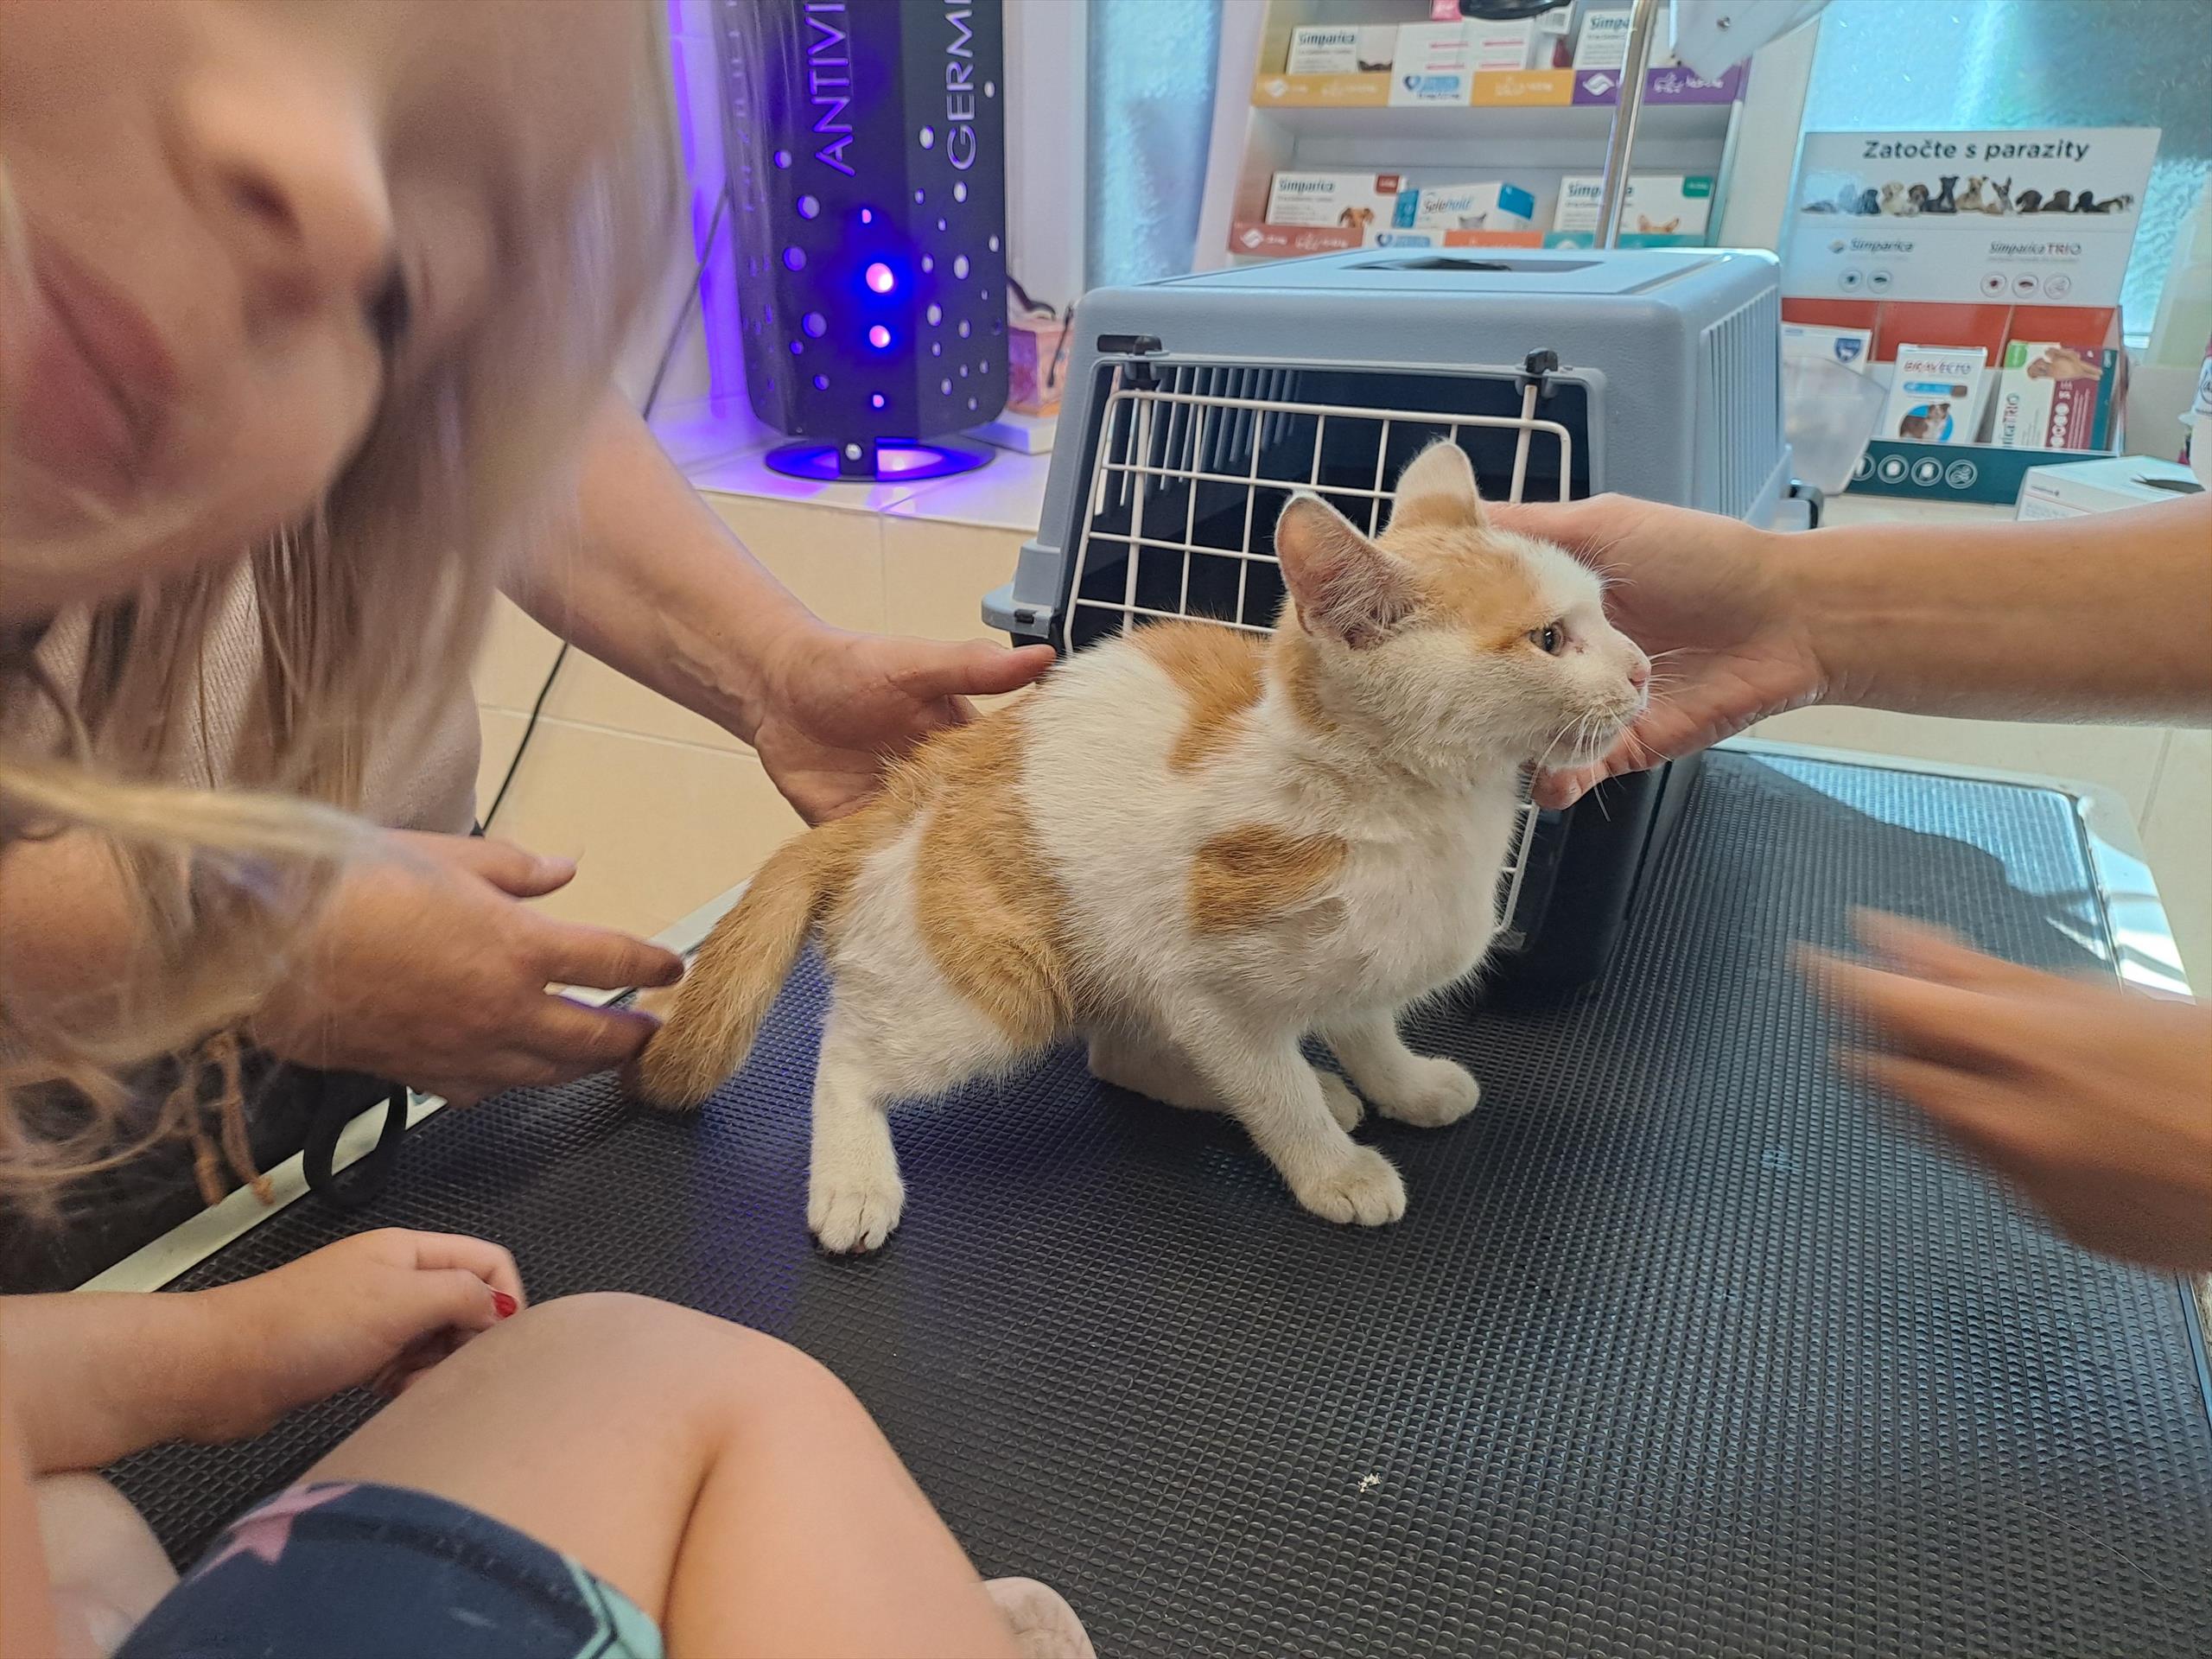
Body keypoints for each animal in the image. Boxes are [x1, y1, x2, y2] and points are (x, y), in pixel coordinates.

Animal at [630, 443, 1651, 1254]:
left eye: (1603, 614)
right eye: (1548, 639)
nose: (1643, 669)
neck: (1419, 812)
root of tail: (908, 785)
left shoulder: (1350, 961)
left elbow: (1363, 1025)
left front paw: (1401, 1083)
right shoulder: (1205, 988)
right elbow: (1270, 1088)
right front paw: (1332, 1168)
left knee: (1115, 1059)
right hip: (1005, 980)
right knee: (846, 1051)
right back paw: (852, 1179)